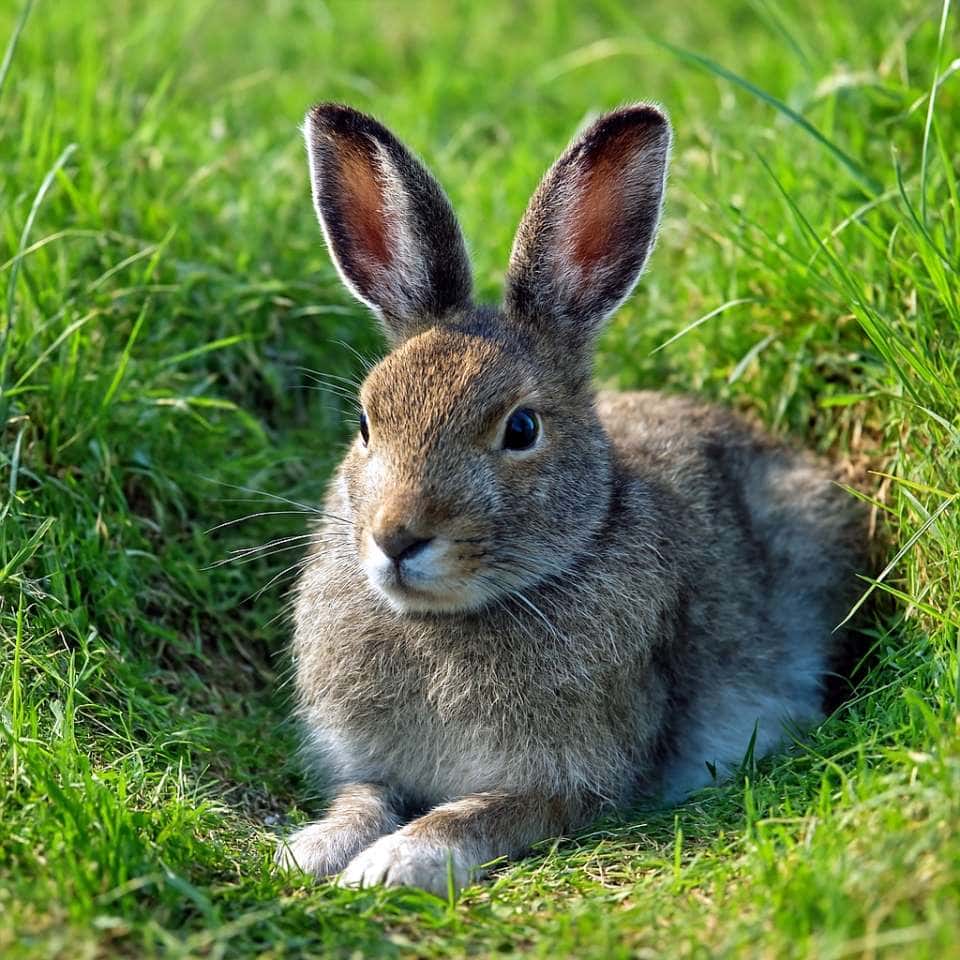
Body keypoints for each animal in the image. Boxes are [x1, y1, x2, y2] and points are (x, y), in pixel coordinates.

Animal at [275, 102, 865, 895]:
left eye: (522, 429)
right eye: (367, 422)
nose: (397, 537)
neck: (446, 621)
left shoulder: (572, 784)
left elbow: (474, 817)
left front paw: (391, 864)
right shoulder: (368, 764)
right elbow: (361, 799)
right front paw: (310, 849)